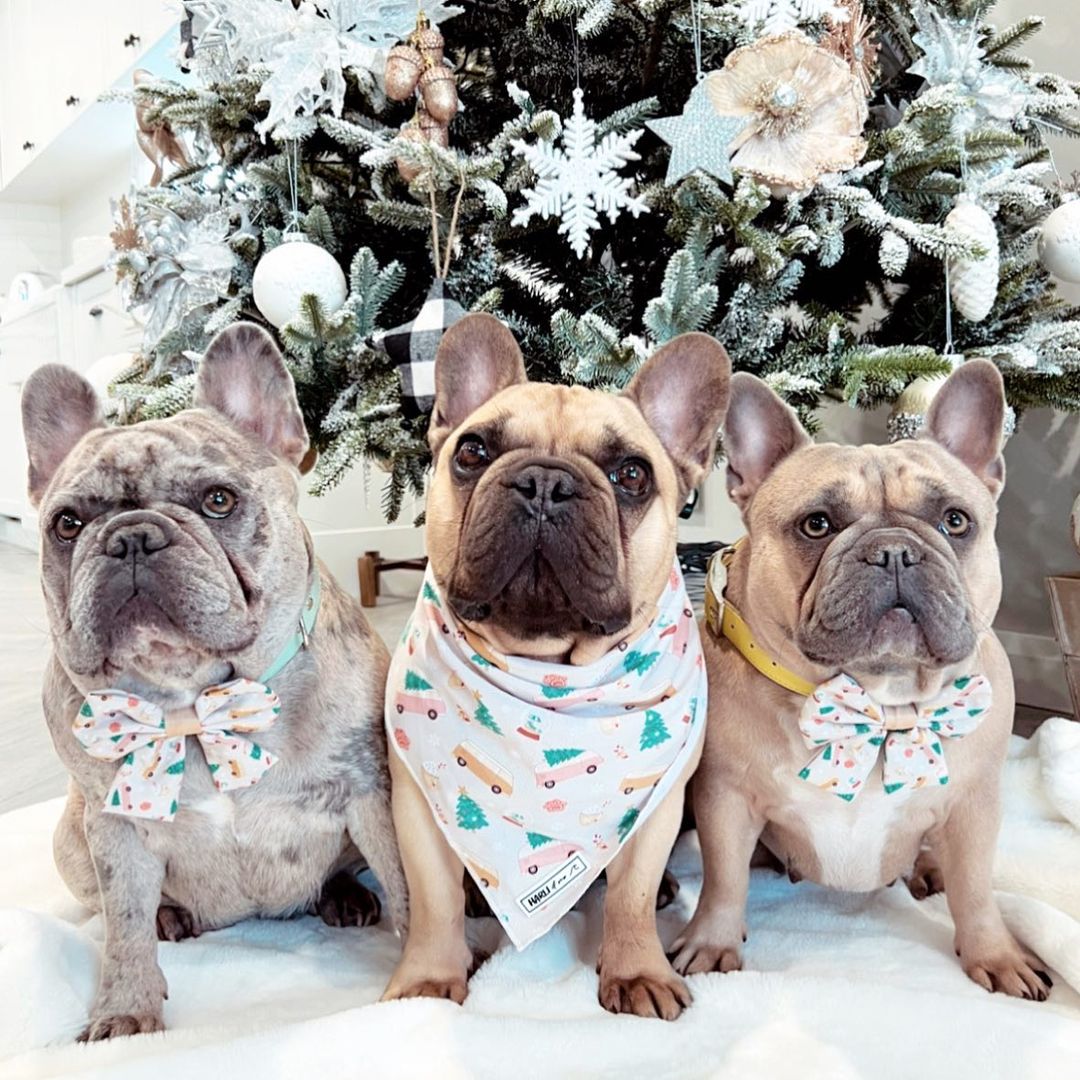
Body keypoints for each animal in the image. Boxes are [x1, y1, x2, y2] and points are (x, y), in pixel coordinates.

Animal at [21, 323, 407, 1041]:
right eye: (67, 523)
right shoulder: (113, 826)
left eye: (218, 501)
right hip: (69, 840)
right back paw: (171, 917)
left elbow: (406, 884)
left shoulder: (371, 793)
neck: (195, 703)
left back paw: (343, 898)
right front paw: (124, 1013)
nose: (130, 537)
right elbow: (123, 928)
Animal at [380, 313, 731, 1020]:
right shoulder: (416, 809)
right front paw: (428, 982)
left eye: (632, 474)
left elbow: (629, 897)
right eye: (472, 452)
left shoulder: (656, 809)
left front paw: (637, 971)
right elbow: (432, 902)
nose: (545, 483)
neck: (547, 673)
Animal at [671, 360, 1052, 1001]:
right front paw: (711, 944)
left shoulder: (975, 807)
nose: (894, 550)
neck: (879, 701)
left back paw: (929, 870)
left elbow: (976, 889)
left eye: (955, 521)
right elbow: (723, 881)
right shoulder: (726, 800)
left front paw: (996, 956)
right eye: (816, 525)